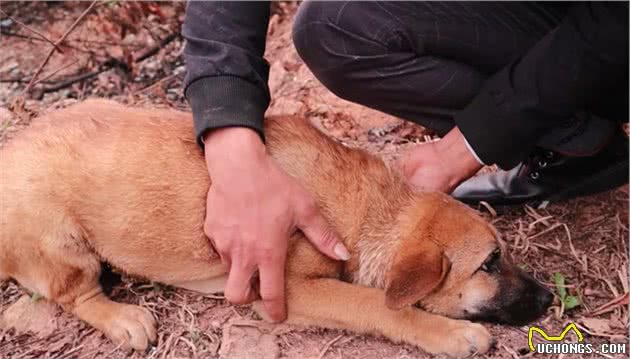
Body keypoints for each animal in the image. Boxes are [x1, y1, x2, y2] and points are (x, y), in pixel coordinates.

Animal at [0, 100, 552, 358]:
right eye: (489, 263)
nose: (549, 298)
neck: (367, 209)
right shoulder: (286, 288)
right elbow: (377, 304)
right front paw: (452, 334)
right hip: (62, 242)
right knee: (75, 294)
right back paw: (122, 318)